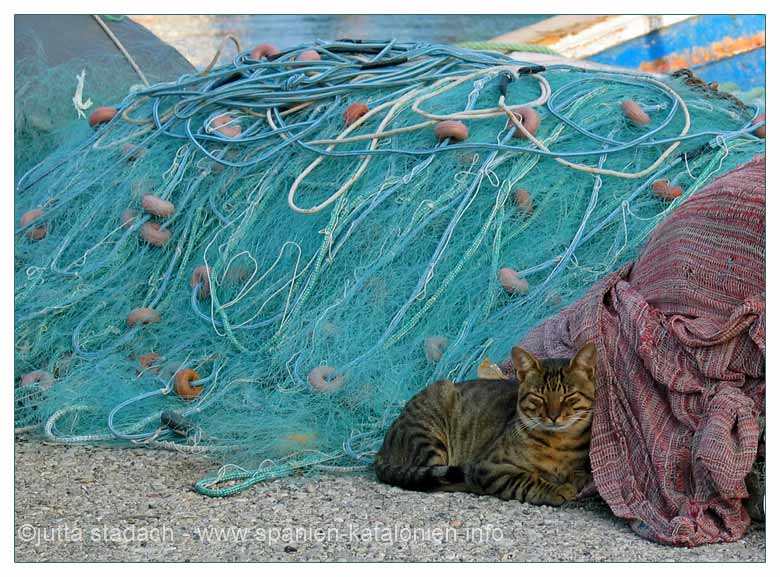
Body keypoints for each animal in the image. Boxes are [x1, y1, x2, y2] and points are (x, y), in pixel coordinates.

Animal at [374, 342, 596, 504]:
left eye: (569, 396)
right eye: (538, 397)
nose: (553, 416)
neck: (559, 442)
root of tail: (381, 450)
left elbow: (581, 474)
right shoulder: (490, 466)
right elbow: (527, 480)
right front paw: (557, 489)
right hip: (429, 435)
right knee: (434, 480)